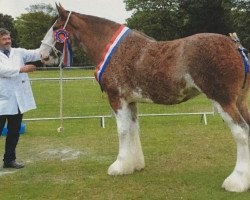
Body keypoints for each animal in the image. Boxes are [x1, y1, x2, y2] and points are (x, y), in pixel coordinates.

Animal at [39, 3, 250, 192]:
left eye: (56, 28)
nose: (43, 55)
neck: (114, 50)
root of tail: (235, 46)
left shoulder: (117, 99)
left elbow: (123, 131)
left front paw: (119, 166)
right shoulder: (131, 102)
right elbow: (133, 129)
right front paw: (134, 164)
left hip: (223, 101)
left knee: (241, 133)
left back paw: (236, 182)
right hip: (239, 101)